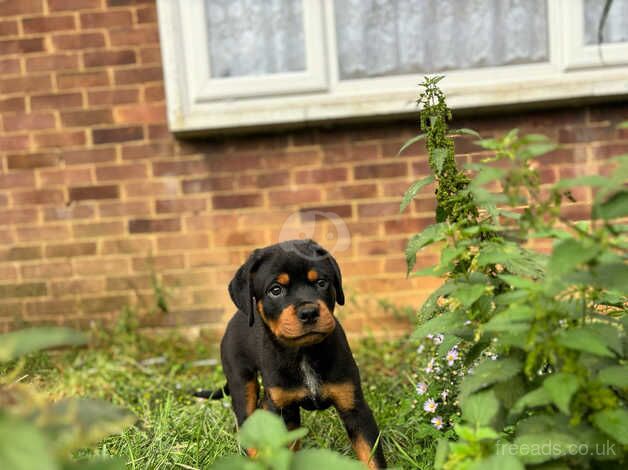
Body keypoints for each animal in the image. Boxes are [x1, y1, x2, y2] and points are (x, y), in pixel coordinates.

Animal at [196, 241, 386, 468]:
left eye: (321, 282)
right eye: (275, 290)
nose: (309, 312)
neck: (304, 353)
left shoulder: (354, 407)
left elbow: (371, 456)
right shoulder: (282, 410)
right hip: (242, 382)